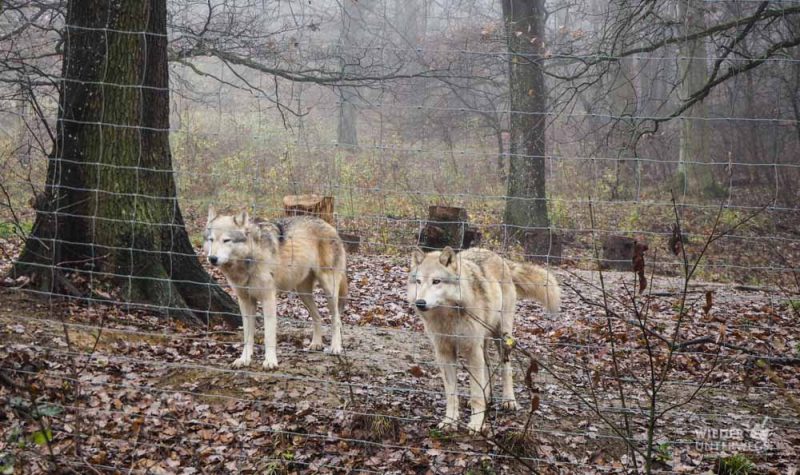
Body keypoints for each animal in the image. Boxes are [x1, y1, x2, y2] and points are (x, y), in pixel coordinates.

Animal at [205, 206, 346, 370]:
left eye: (226, 240)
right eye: (211, 239)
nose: (212, 259)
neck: (249, 260)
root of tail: (329, 225)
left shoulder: (268, 299)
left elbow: (269, 336)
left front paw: (270, 361)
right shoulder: (245, 301)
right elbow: (247, 336)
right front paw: (244, 359)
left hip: (329, 289)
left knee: (336, 318)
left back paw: (335, 347)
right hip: (303, 293)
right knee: (318, 317)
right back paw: (316, 344)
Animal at [410, 247, 560, 434]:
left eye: (436, 281)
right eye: (418, 281)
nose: (420, 303)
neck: (448, 316)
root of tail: (498, 257)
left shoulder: (472, 350)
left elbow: (475, 394)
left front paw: (476, 424)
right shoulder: (444, 353)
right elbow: (451, 394)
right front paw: (450, 422)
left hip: (501, 336)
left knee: (506, 367)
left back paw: (509, 400)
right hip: (483, 342)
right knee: (487, 366)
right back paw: (488, 397)